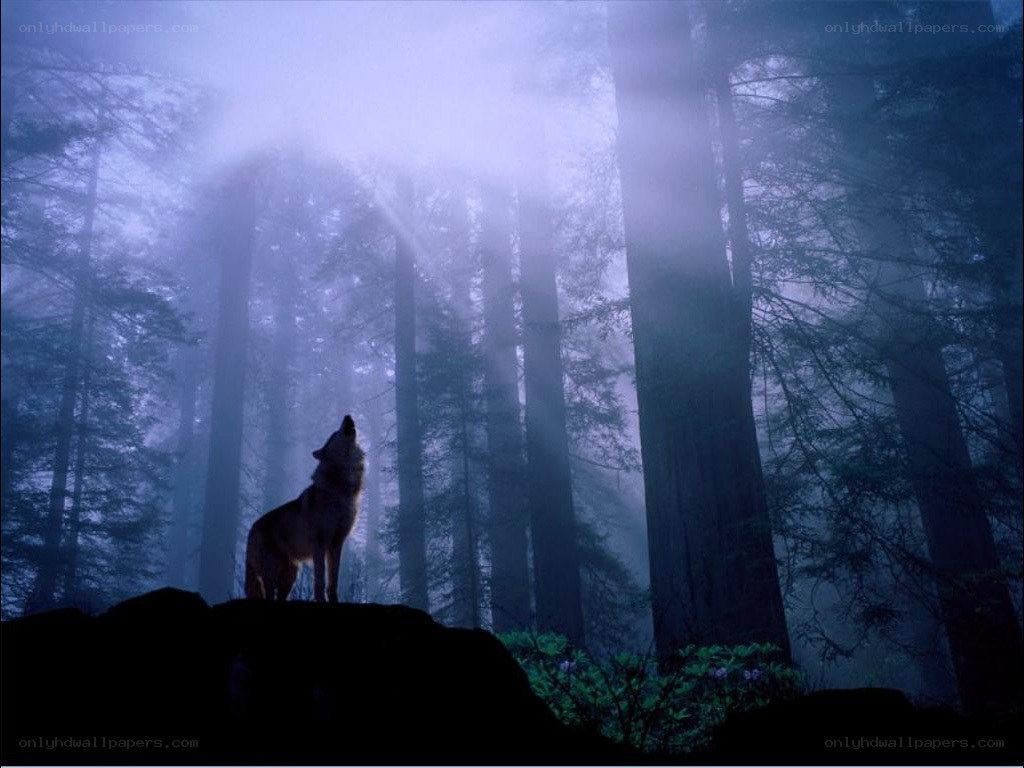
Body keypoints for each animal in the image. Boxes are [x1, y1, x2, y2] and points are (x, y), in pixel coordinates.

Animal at [244, 415, 365, 602]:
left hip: (291, 575)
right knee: (269, 595)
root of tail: (252, 528)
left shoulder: (336, 544)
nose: (348, 416)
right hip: (271, 574)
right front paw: (321, 600)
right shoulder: (319, 545)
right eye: (334, 433)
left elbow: (333, 582)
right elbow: (320, 581)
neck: (341, 490)